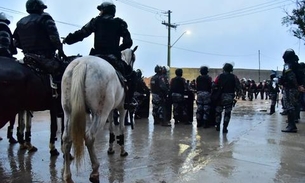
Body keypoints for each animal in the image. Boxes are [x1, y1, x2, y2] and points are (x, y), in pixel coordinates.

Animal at [61, 46, 137, 183]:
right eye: (133, 57)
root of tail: (83, 63)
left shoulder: (111, 111)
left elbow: (112, 128)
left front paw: (111, 148)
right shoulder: (122, 109)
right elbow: (121, 128)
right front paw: (122, 151)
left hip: (69, 113)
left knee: (66, 139)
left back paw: (67, 175)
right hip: (100, 115)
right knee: (89, 137)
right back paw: (95, 170)